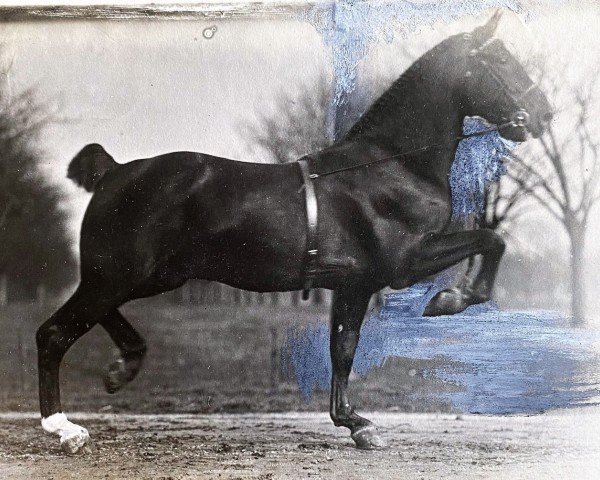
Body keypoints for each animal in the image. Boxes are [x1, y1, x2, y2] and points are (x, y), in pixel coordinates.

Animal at [38, 12, 552, 454]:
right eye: (500, 61)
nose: (542, 114)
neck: (391, 166)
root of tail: (114, 172)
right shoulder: (404, 264)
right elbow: (491, 240)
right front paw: (450, 299)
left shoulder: (352, 283)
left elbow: (343, 349)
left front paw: (355, 423)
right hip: (121, 275)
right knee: (54, 333)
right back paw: (64, 428)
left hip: (144, 277)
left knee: (93, 318)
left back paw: (123, 365)